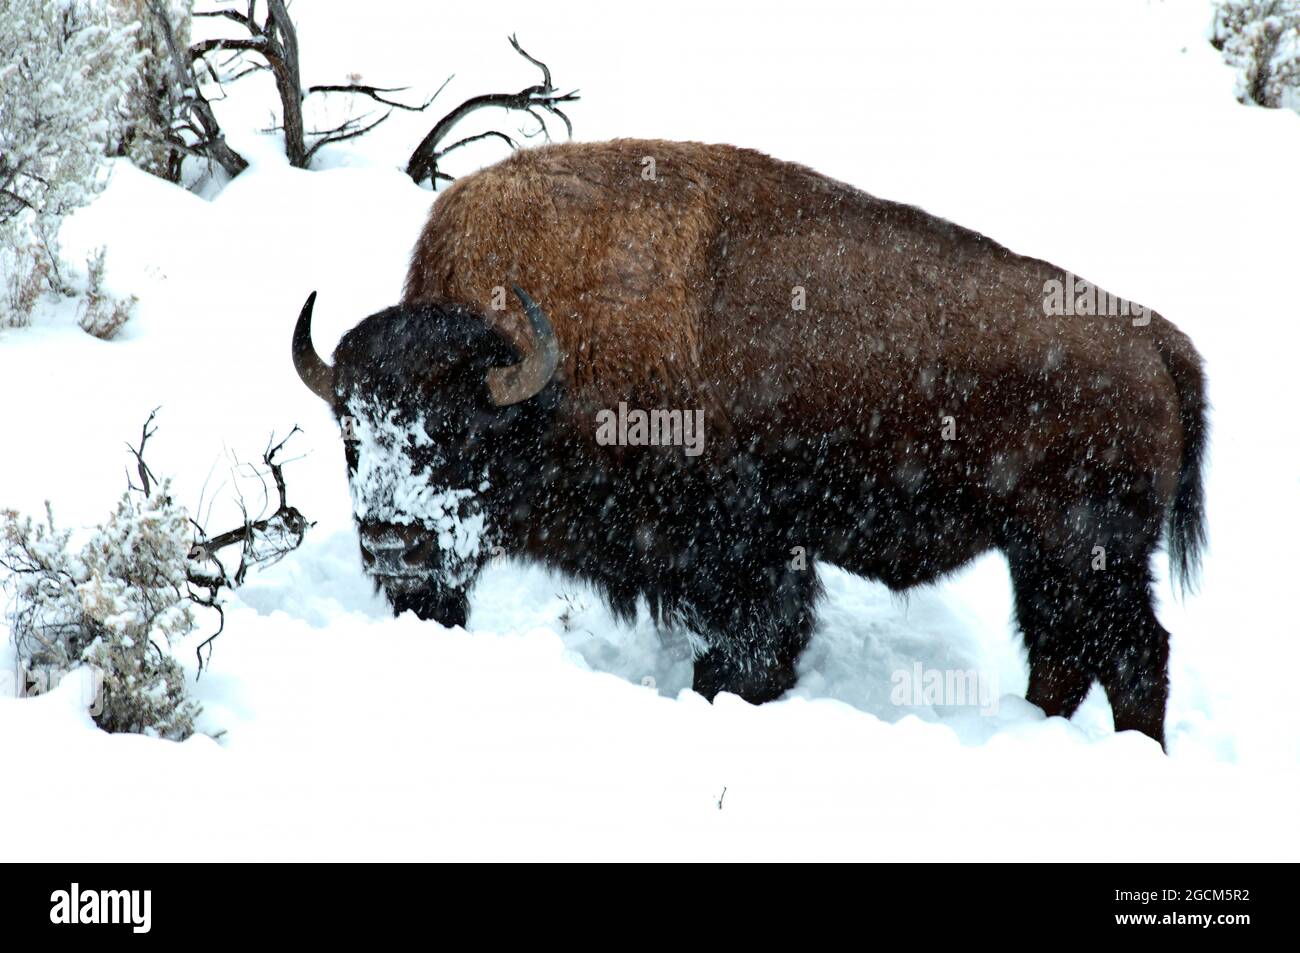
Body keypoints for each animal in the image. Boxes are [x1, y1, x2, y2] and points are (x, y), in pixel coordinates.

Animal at [295, 137, 1206, 748]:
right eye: (351, 435)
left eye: (453, 431)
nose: (391, 542)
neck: (539, 370)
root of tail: (1156, 340)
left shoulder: (743, 560)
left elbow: (749, 653)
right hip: (1042, 556)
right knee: (1065, 653)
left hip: (1087, 551)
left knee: (1134, 653)